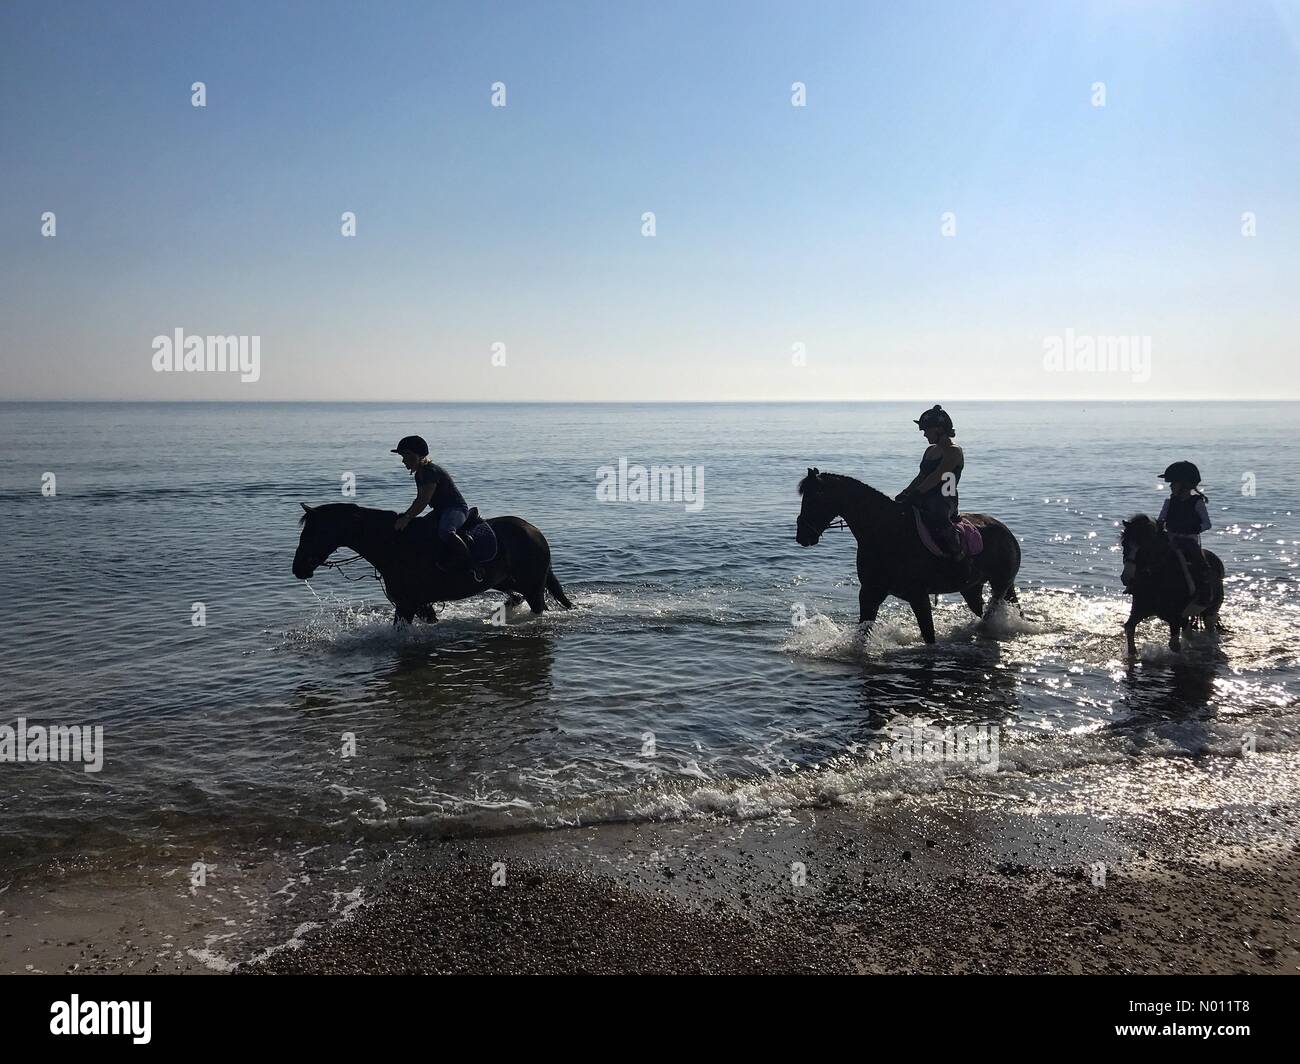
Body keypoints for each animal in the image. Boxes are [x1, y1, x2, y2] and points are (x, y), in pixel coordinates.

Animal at [301, 499, 577, 621]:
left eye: (312, 532)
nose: (298, 568)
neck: (393, 545)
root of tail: (535, 531)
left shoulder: (407, 605)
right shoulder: (418, 605)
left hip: (533, 588)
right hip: (505, 581)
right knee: (516, 597)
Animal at [795, 468, 1019, 642]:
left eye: (814, 499)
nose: (802, 536)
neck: (885, 530)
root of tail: (1006, 531)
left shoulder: (918, 595)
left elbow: (928, 635)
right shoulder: (870, 592)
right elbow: (862, 634)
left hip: (1000, 584)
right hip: (972, 588)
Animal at [1123, 509, 1222, 650]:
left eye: (1144, 548)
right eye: (1124, 544)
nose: (1126, 578)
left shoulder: (1175, 617)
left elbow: (1174, 645)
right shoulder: (1140, 609)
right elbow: (1129, 627)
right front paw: (1132, 651)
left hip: (1211, 610)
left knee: (1210, 629)